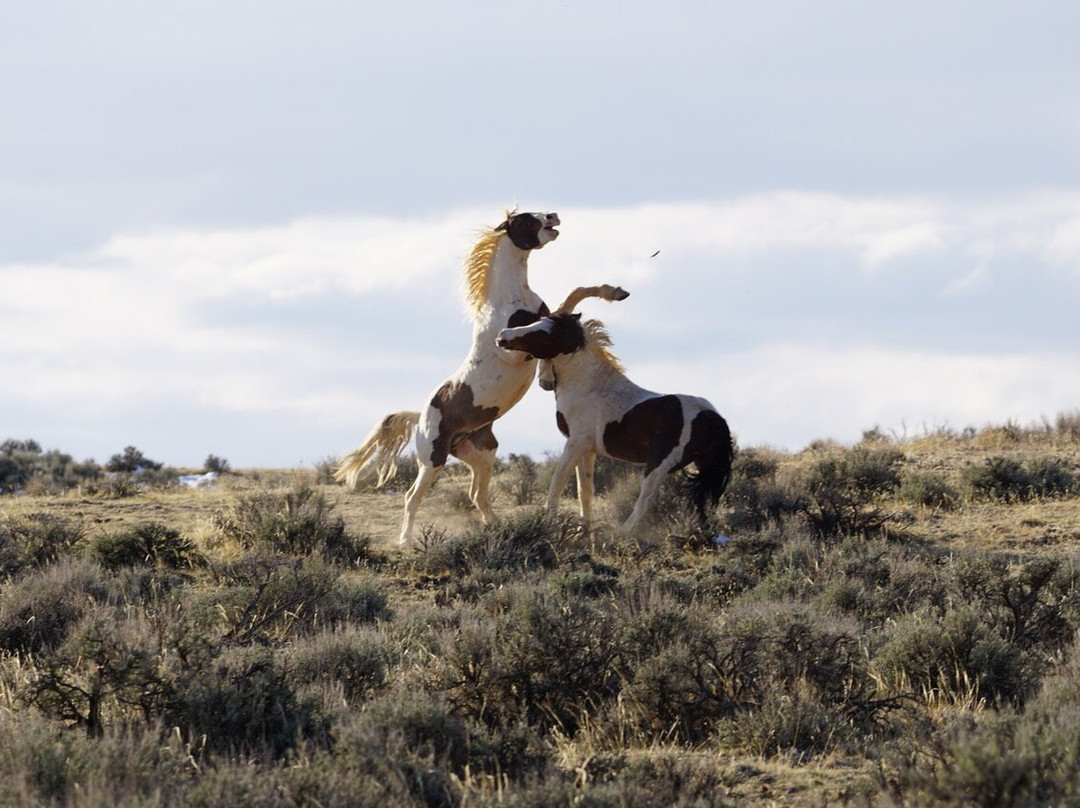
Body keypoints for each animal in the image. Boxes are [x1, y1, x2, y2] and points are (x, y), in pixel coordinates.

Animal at [334, 210, 561, 544]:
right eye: (524, 219)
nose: (553, 216)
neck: (511, 299)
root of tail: (420, 418)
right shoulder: (512, 350)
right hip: (433, 459)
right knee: (412, 497)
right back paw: (406, 539)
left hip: (482, 454)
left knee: (476, 495)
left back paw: (497, 527)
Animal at [496, 287, 735, 531]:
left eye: (547, 332)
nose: (503, 335)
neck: (589, 385)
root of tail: (714, 417)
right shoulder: (587, 450)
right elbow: (585, 493)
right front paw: (584, 532)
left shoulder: (575, 443)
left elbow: (556, 485)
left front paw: (549, 524)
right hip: (702, 465)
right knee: (700, 502)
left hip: (659, 464)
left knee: (646, 501)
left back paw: (621, 533)